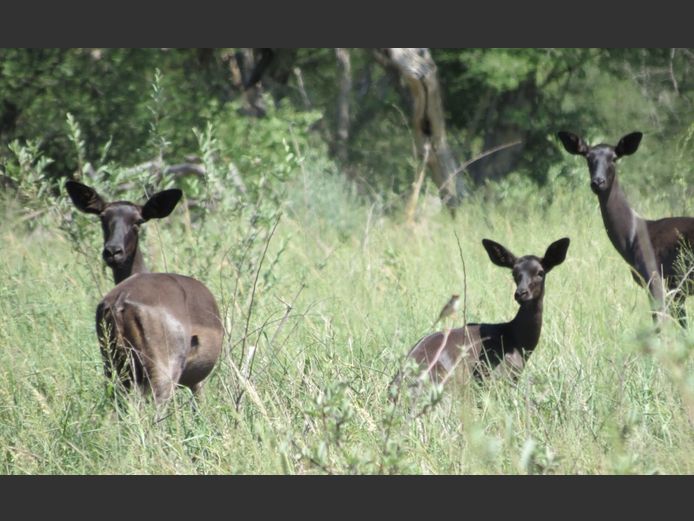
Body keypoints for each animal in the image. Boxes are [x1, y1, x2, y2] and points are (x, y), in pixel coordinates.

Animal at [65, 181, 223, 404]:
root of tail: (120, 302)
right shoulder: (197, 382)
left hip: (115, 370)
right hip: (161, 373)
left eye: (137, 221)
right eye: (102, 217)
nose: (113, 251)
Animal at [557, 131, 694, 326]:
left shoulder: (654, 276)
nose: (598, 182)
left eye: (614, 158)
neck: (632, 236)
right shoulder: (676, 288)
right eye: (588, 158)